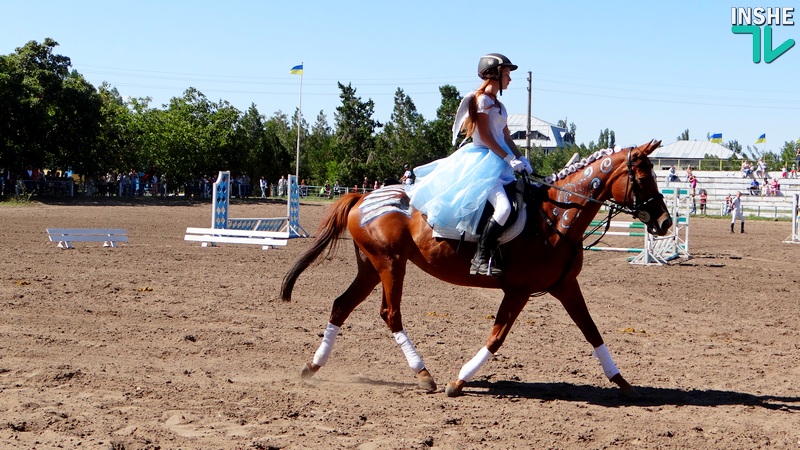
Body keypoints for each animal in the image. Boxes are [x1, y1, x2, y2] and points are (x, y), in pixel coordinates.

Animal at [282, 141, 668, 398]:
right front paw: (459, 381)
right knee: (390, 314)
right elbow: (497, 337)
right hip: (390, 264)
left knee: (341, 306)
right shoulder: (518, 290)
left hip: (371, 267)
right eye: (643, 177)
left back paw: (312, 367)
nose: (664, 223)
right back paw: (424, 375)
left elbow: (592, 332)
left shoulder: (565, 286)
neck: (555, 217)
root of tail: (363, 197)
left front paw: (623, 383)